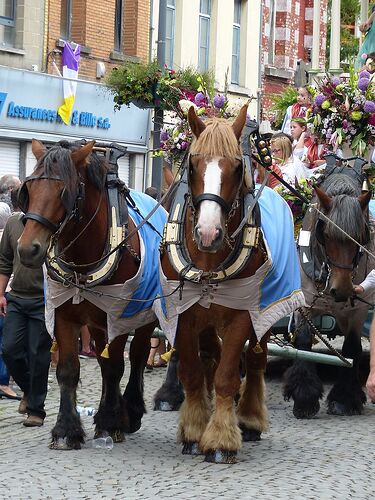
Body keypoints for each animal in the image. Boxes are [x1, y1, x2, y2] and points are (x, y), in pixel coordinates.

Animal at [16, 140, 165, 450]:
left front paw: (111, 422)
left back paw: (130, 411)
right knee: (103, 358)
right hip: (96, 323)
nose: (27, 249)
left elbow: (116, 366)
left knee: (138, 353)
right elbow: (68, 370)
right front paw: (66, 430)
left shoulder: (118, 316)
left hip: (144, 315)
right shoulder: (63, 314)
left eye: (65, 192)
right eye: (29, 189)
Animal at [157, 106, 304, 464]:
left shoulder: (242, 315)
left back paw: (249, 419)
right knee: (215, 354)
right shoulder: (182, 313)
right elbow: (193, 372)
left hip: (267, 311)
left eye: (237, 167)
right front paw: (194, 430)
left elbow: (226, 377)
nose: (208, 233)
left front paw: (221, 440)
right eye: (193, 164)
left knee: (256, 360)